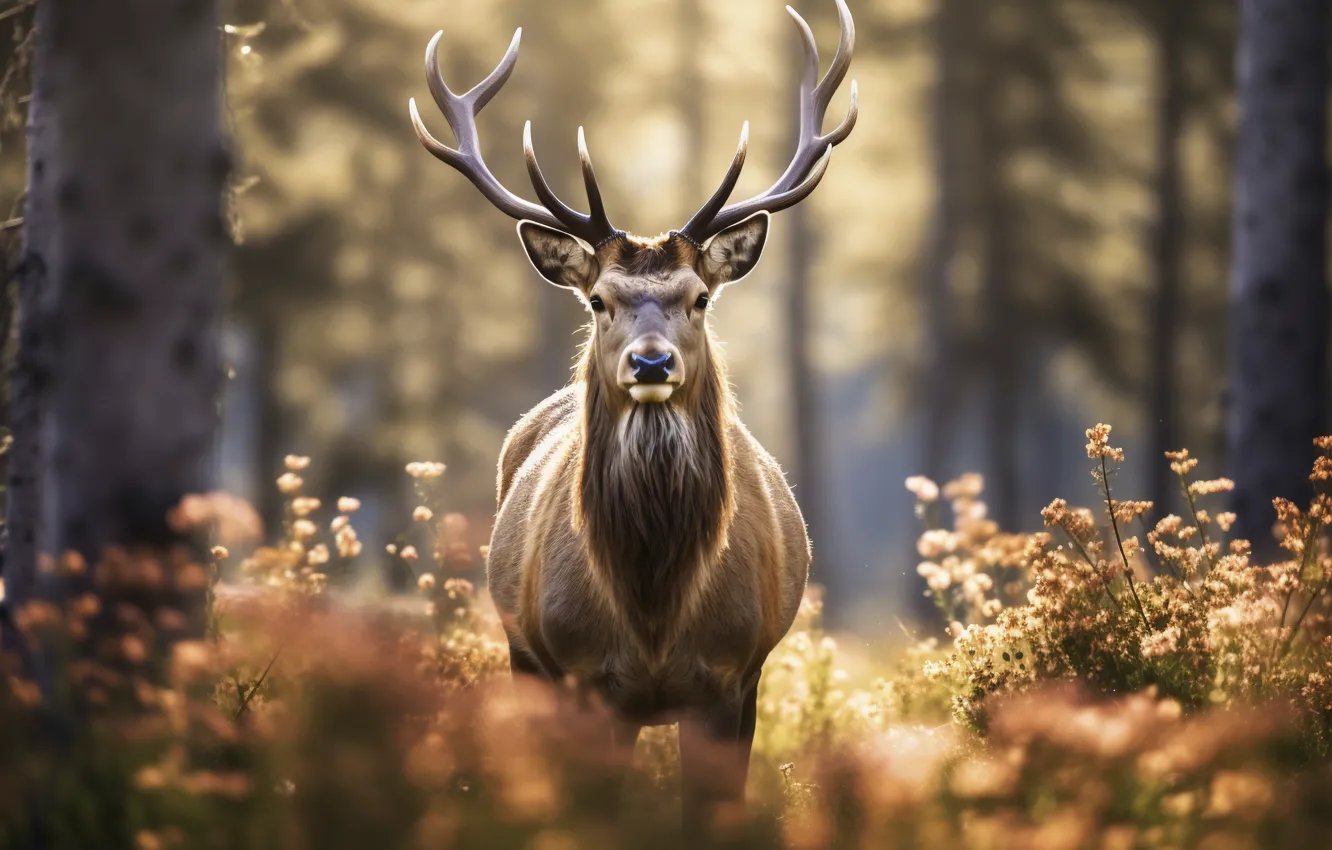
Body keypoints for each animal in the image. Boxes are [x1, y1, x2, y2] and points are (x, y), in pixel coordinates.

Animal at [408, 0, 857, 826]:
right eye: (598, 300)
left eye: (700, 297)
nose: (652, 364)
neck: (652, 609)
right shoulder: (583, 677)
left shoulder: (732, 676)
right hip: (522, 651)